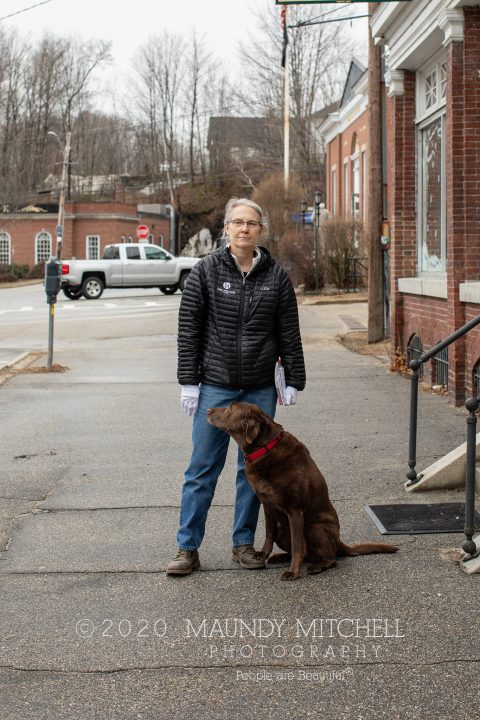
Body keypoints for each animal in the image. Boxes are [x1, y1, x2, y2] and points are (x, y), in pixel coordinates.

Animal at [206, 402, 398, 584]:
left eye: (230, 407)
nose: (207, 410)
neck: (265, 448)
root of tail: (340, 543)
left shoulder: (294, 510)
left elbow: (298, 546)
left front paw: (293, 573)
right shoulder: (267, 505)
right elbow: (269, 534)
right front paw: (263, 554)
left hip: (314, 528)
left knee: (330, 558)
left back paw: (318, 566)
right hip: (283, 529)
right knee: (303, 551)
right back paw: (280, 557)